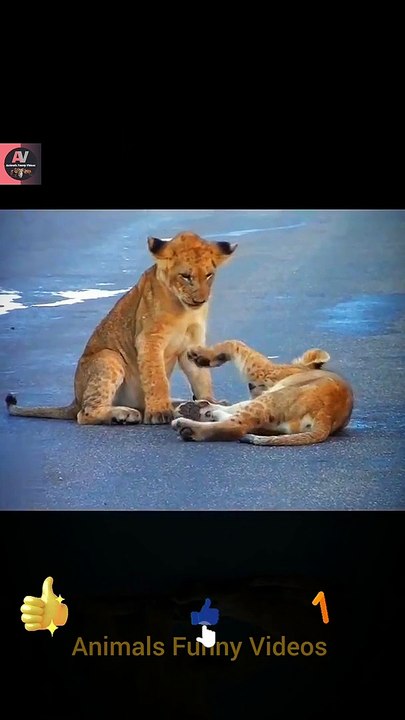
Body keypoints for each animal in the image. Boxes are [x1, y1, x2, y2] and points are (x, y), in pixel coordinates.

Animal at [5, 232, 237, 425]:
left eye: (209, 275)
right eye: (186, 276)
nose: (201, 300)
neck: (185, 309)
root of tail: (75, 400)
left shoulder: (193, 343)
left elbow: (202, 377)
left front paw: (209, 401)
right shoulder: (148, 339)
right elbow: (156, 378)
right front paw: (159, 412)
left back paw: (187, 405)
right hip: (109, 356)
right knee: (85, 414)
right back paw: (124, 414)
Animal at [171, 340, 353, 445]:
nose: (251, 386)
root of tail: (327, 416)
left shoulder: (263, 370)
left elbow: (235, 344)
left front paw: (199, 355)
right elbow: (235, 405)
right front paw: (201, 408)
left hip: (274, 397)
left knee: (236, 427)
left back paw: (188, 427)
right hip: (275, 413)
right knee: (245, 421)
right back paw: (199, 411)